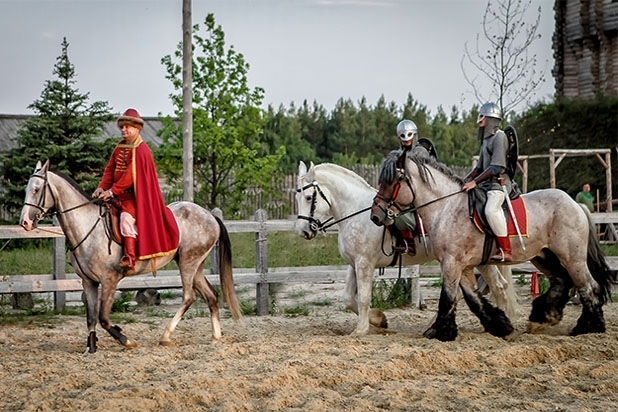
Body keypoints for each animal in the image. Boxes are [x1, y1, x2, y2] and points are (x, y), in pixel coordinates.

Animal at [19, 159, 241, 352]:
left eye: (36, 189)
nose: (25, 222)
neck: (88, 227)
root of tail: (209, 215)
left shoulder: (109, 280)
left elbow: (103, 317)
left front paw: (125, 340)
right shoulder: (88, 282)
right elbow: (91, 317)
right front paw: (91, 347)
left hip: (188, 263)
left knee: (189, 297)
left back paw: (166, 336)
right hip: (195, 265)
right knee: (210, 296)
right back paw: (216, 337)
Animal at [296, 159, 516, 336]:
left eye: (308, 198)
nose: (303, 231)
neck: (356, 212)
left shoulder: (364, 263)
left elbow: (364, 298)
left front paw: (361, 329)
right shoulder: (353, 264)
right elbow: (348, 298)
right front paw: (379, 319)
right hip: (477, 260)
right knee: (495, 286)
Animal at [368, 151, 612, 342]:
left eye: (392, 182)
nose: (375, 216)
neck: (446, 207)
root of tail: (576, 204)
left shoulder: (451, 263)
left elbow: (447, 297)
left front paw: (442, 332)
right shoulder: (463, 266)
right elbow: (473, 299)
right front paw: (501, 326)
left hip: (572, 258)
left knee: (588, 286)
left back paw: (588, 327)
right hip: (544, 256)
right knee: (562, 281)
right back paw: (543, 318)